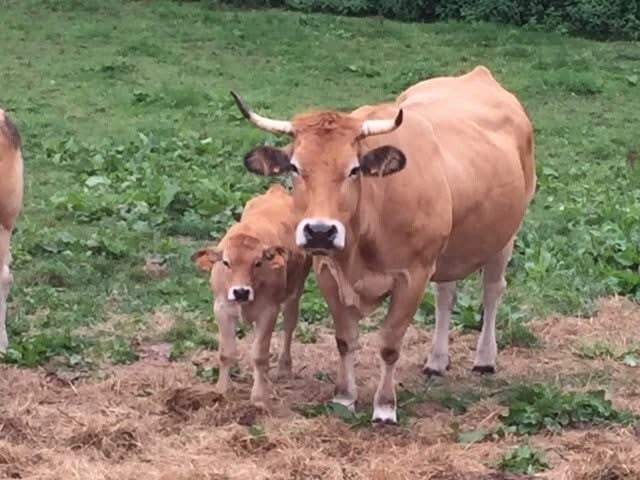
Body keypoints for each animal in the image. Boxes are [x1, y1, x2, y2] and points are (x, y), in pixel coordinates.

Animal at [191, 184, 311, 407]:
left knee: (289, 325)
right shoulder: (221, 308)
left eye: (258, 262)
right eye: (226, 262)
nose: (240, 291)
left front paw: (259, 396)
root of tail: (277, 191)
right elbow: (226, 352)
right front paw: (222, 389)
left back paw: (284, 368)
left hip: (296, 290)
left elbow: (259, 355)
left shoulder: (268, 311)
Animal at [230, 65, 536, 423]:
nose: (320, 231)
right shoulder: (326, 271)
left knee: (492, 291)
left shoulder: (412, 276)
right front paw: (344, 397)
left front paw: (385, 406)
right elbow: (345, 339)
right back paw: (436, 360)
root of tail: (478, 74)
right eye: (294, 167)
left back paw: (485, 358)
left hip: (504, 237)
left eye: (354, 169)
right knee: (445, 294)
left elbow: (390, 345)